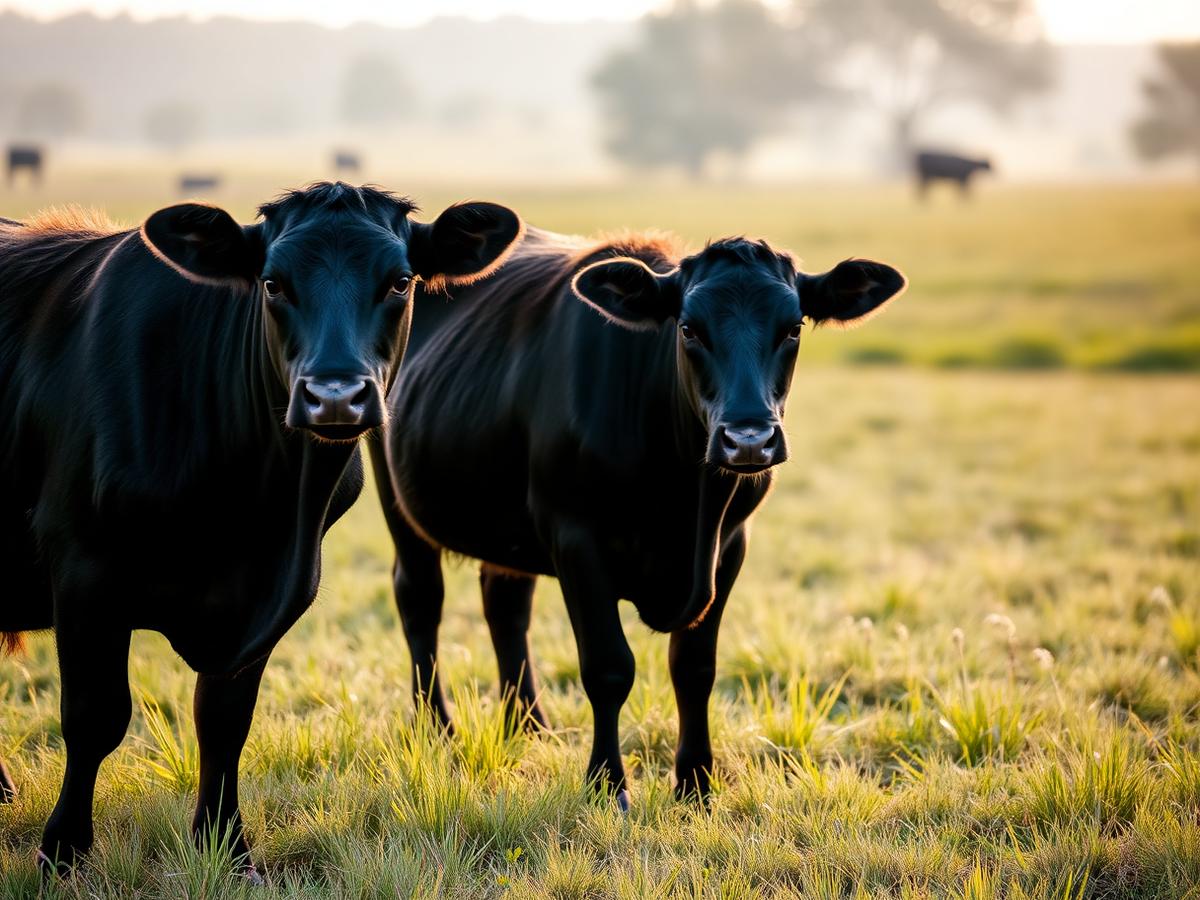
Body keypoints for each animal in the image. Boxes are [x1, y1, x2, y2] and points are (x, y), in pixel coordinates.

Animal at [0, 182, 521, 878]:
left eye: (400, 281)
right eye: (272, 283)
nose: (335, 396)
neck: (255, 509)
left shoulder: (276, 595)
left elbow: (224, 721)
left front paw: (227, 843)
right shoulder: (83, 568)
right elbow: (95, 714)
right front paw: (63, 850)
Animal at [371, 227, 905, 807]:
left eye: (793, 328)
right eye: (689, 328)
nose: (748, 438)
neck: (685, 501)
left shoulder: (730, 544)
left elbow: (694, 666)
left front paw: (696, 784)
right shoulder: (575, 536)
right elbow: (608, 667)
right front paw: (609, 785)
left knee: (505, 604)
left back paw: (531, 728)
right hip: (397, 498)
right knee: (420, 601)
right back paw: (437, 730)